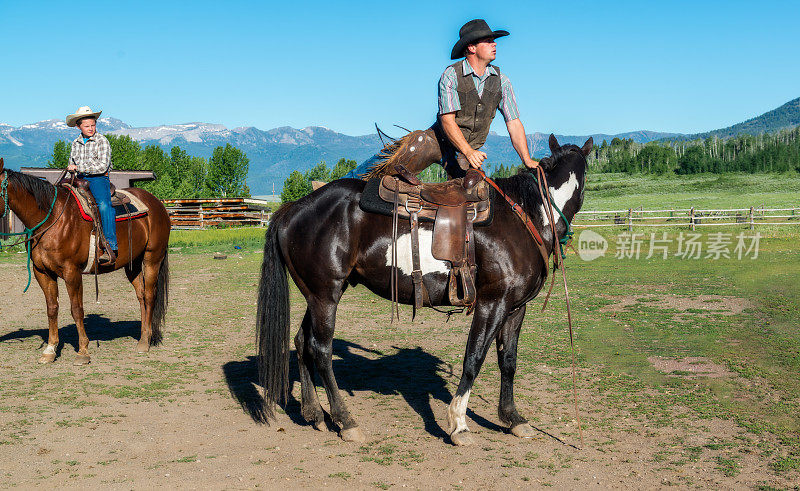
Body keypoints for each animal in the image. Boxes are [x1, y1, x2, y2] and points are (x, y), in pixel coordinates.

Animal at [0, 159, 170, 366]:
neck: (51, 218)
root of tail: (157, 203)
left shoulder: (71, 272)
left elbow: (76, 309)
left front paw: (83, 352)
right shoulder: (42, 271)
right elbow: (52, 308)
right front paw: (50, 350)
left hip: (152, 258)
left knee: (150, 295)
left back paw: (145, 342)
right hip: (133, 264)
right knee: (141, 296)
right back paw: (143, 336)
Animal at [260, 135, 592, 446]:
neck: (524, 217)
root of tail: (293, 208)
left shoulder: (515, 308)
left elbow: (508, 361)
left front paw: (513, 418)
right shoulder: (492, 304)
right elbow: (474, 358)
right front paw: (458, 424)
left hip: (318, 295)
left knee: (302, 342)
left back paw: (314, 413)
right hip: (326, 296)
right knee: (321, 349)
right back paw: (346, 421)